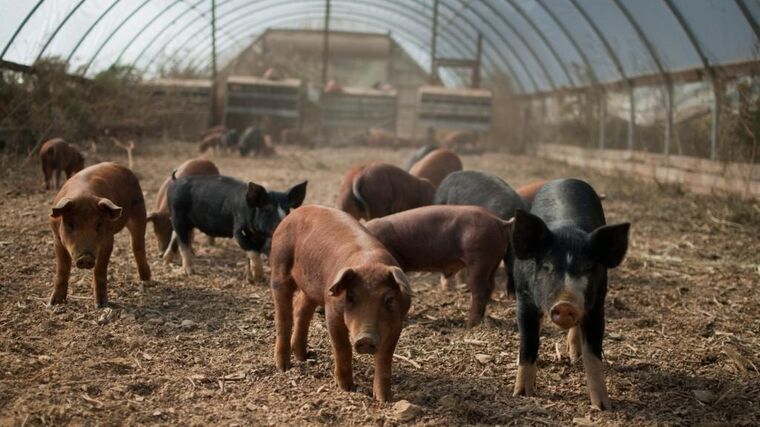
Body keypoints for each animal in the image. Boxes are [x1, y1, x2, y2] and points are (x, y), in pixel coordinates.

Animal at [47, 163, 151, 308]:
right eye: (70, 223)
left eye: (99, 224)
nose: (86, 257)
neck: (83, 194)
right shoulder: (56, 237)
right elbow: (62, 269)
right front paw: (53, 303)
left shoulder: (108, 239)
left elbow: (100, 269)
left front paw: (101, 305)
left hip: (139, 211)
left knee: (137, 246)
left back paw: (146, 279)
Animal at [166, 174, 306, 284]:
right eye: (267, 210)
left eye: (287, 210)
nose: (284, 224)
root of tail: (175, 181)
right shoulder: (238, 231)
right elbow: (253, 252)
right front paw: (258, 278)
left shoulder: (258, 237)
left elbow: (251, 255)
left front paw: (250, 279)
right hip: (177, 215)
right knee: (182, 241)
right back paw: (189, 272)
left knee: (174, 234)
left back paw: (166, 259)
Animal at [268, 206, 410, 402]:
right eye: (350, 297)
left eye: (389, 299)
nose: (365, 339)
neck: (370, 261)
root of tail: (296, 211)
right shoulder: (332, 312)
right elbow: (343, 348)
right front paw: (347, 389)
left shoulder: (397, 323)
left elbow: (385, 358)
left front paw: (385, 399)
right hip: (279, 264)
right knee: (284, 316)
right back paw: (284, 367)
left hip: (312, 286)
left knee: (302, 309)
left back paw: (304, 356)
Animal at [366, 206, 512, 328]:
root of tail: (499, 222)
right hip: (493, 262)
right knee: (490, 286)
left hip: (479, 259)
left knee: (480, 290)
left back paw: (469, 325)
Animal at [510, 178, 628, 412]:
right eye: (547, 267)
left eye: (587, 268)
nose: (565, 304)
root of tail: (566, 179)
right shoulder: (524, 299)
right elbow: (528, 344)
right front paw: (521, 394)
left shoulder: (596, 306)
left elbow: (593, 356)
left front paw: (603, 407)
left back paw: (575, 357)